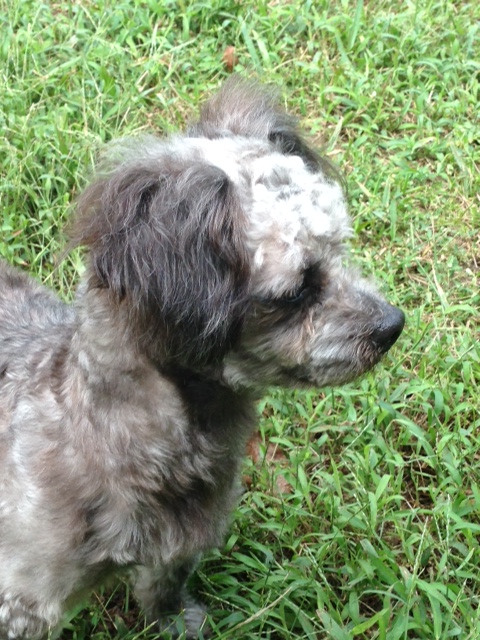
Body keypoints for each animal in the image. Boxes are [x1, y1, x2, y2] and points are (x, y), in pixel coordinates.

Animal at [0, 77, 404, 639]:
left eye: (341, 249)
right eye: (298, 291)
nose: (393, 325)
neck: (103, 437)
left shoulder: (182, 542)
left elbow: (164, 584)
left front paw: (175, 621)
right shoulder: (23, 599)